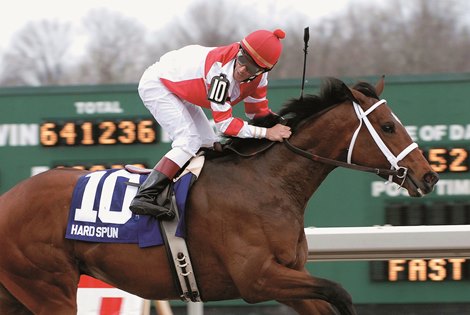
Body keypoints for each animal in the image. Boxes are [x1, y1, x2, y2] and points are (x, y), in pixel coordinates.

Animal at [0, 77, 436, 315]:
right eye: (388, 126)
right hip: (47, 287)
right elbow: (340, 293)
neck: (268, 183)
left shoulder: (290, 278)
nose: (428, 176)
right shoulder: (258, 279)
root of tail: (9, 198)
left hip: (19, 292)